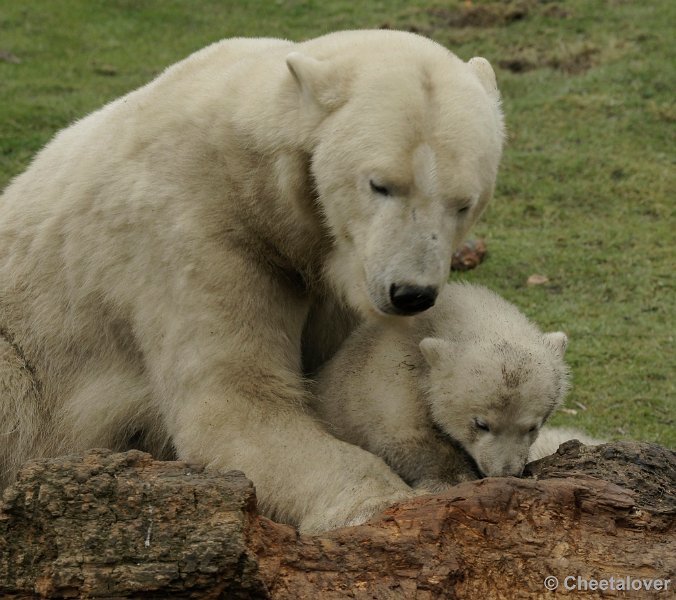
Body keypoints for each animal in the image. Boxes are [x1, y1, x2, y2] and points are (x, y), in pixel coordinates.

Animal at [0, 30, 504, 532]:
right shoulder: (195, 228)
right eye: (380, 184)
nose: (410, 293)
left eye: (464, 202)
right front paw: (380, 504)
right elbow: (236, 401)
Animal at [314, 282, 572, 488]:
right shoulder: (390, 374)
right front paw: (454, 478)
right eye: (481, 424)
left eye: (533, 427)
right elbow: (404, 436)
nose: (505, 472)